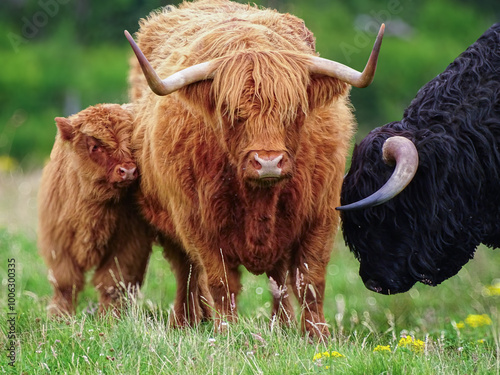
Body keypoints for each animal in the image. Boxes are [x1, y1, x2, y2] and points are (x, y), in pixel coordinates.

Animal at [37, 103, 152, 318]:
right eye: (95, 146)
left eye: (130, 141)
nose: (128, 171)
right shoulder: (57, 243)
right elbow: (65, 284)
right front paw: (59, 316)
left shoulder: (129, 245)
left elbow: (113, 284)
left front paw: (111, 317)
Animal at [126, 0, 382, 338]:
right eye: (232, 112)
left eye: (294, 111)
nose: (268, 161)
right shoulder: (198, 223)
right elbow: (221, 283)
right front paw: (227, 333)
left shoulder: (321, 214)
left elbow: (310, 282)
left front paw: (317, 335)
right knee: (187, 274)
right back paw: (185, 323)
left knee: (279, 280)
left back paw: (281, 327)